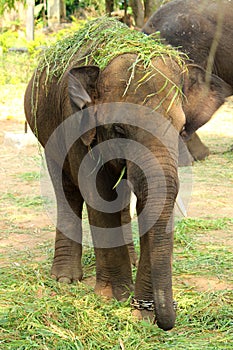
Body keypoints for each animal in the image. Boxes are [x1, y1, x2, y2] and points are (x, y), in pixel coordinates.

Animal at [24, 18, 230, 330]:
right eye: (119, 129)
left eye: (182, 129)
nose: (164, 317)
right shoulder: (80, 128)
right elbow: (97, 194)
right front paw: (114, 298)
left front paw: (140, 312)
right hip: (48, 132)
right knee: (66, 189)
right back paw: (65, 278)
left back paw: (130, 260)